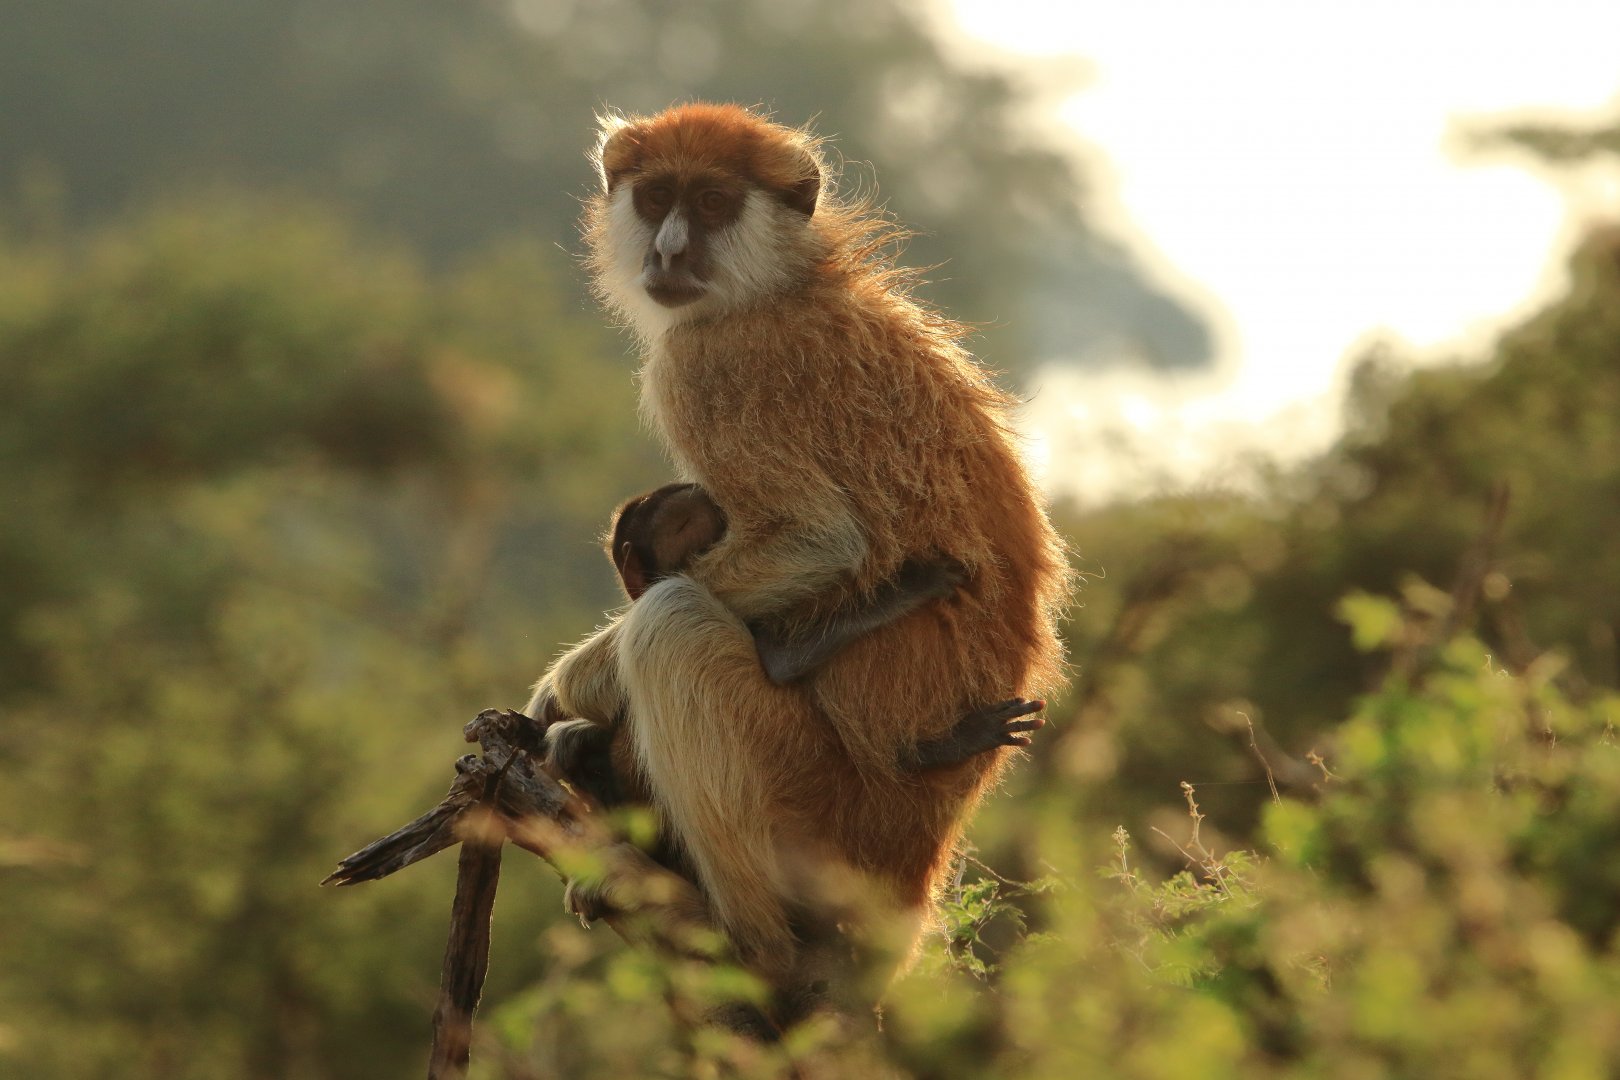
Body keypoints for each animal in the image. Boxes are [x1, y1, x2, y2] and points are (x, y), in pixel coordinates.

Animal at [527, 103, 1072, 1010]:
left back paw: (757, 952)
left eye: (713, 203)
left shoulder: (705, 366)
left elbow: (819, 543)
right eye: (658, 197)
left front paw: (566, 688)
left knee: (672, 624)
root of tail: (915, 878)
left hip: (825, 820)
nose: (668, 252)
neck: (786, 282)